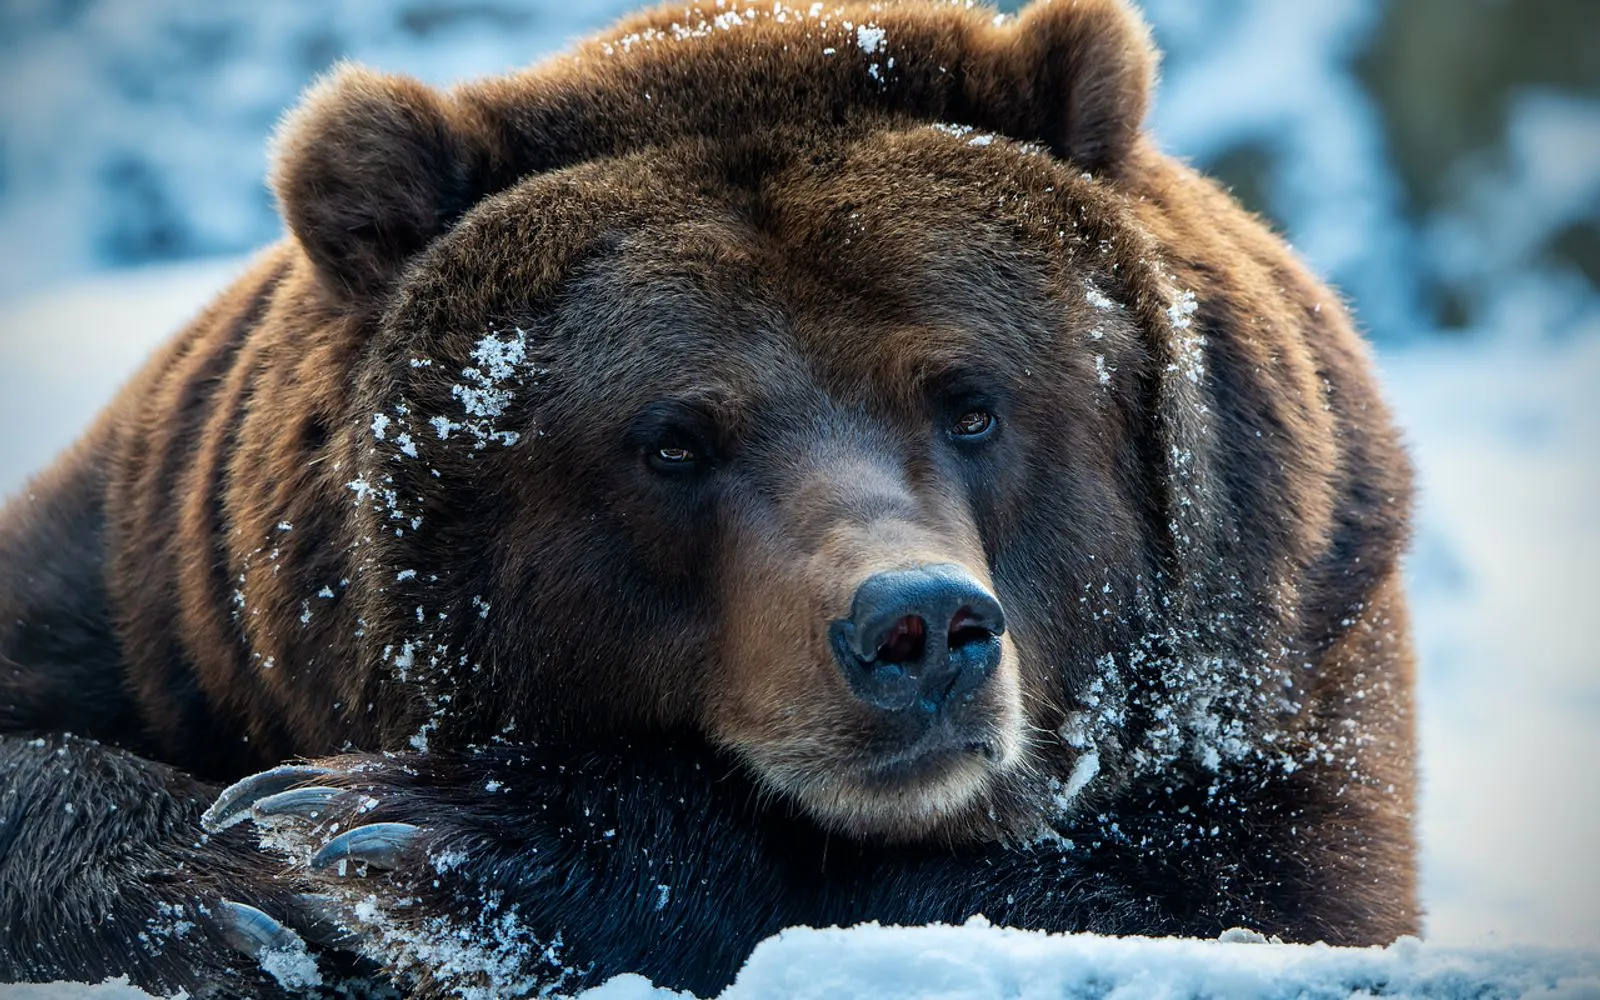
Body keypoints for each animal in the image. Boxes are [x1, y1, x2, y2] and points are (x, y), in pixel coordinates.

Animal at [0, 0, 1419, 996]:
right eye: (673, 441)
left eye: (970, 400)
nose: (919, 628)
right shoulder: (159, 594)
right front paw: (231, 887)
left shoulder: (1293, 641)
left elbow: (1234, 898)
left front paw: (403, 836)